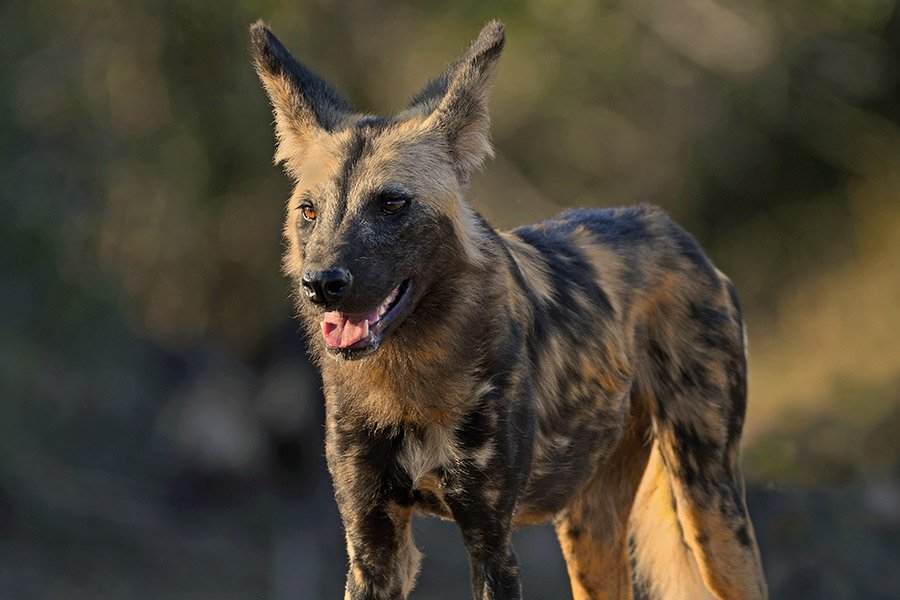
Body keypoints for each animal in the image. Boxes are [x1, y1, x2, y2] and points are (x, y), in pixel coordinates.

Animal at [251, 18, 768, 600]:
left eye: (392, 203)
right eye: (308, 212)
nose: (322, 284)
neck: (410, 381)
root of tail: (673, 229)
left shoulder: (491, 542)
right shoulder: (373, 550)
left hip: (710, 511)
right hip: (588, 527)